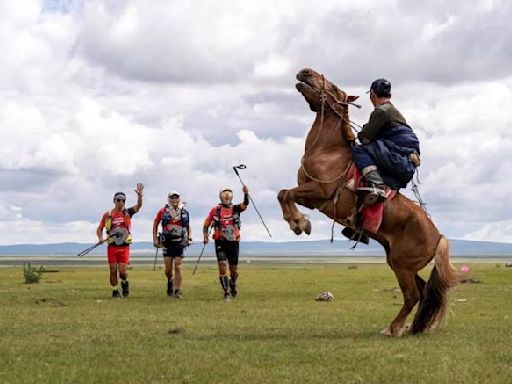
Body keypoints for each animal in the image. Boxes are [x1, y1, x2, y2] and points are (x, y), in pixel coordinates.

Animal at [278, 69, 458, 336]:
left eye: (333, 86)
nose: (305, 72)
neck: (327, 149)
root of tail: (438, 237)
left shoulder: (319, 192)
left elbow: (286, 194)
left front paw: (298, 223)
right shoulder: (309, 197)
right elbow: (283, 193)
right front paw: (299, 222)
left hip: (402, 266)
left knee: (412, 296)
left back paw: (392, 328)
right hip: (401, 264)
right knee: (422, 291)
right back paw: (410, 327)